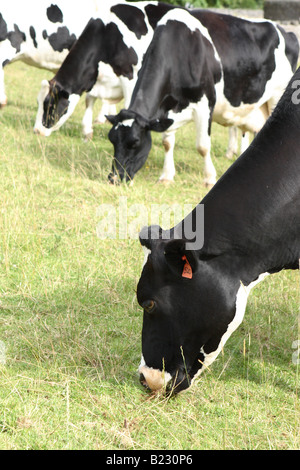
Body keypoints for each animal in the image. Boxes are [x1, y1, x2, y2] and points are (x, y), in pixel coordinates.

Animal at [33, 0, 176, 138]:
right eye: (38, 102)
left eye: (49, 105)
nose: (37, 131)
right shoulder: (97, 77)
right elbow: (89, 99)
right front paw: (87, 131)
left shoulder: (131, 76)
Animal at [107, 8, 298, 185]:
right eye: (112, 140)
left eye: (135, 142)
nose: (114, 178)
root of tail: (287, 33)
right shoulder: (167, 110)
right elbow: (167, 142)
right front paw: (166, 176)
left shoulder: (205, 104)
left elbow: (203, 146)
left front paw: (209, 178)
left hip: (277, 96)